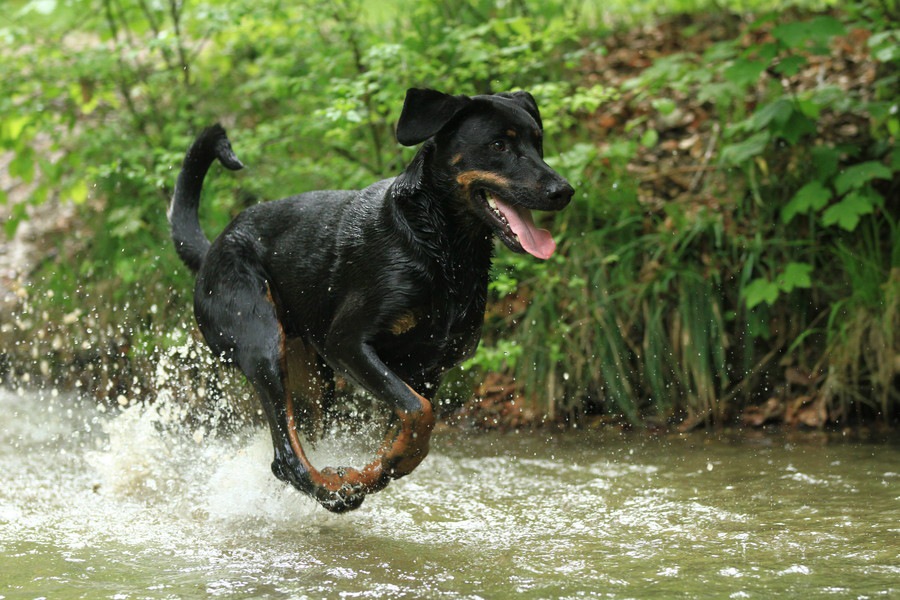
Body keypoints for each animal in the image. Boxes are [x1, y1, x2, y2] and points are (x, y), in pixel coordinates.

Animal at [169, 89, 572, 510]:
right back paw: (331, 492)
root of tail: (211, 250)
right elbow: (419, 413)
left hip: (312, 377)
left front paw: (376, 471)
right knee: (285, 457)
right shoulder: (347, 344)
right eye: (498, 145)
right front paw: (368, 475)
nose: (564, 191)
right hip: (261, 341)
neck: (440, 248)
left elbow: (410, 428)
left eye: (538, 142)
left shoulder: (428, 370)